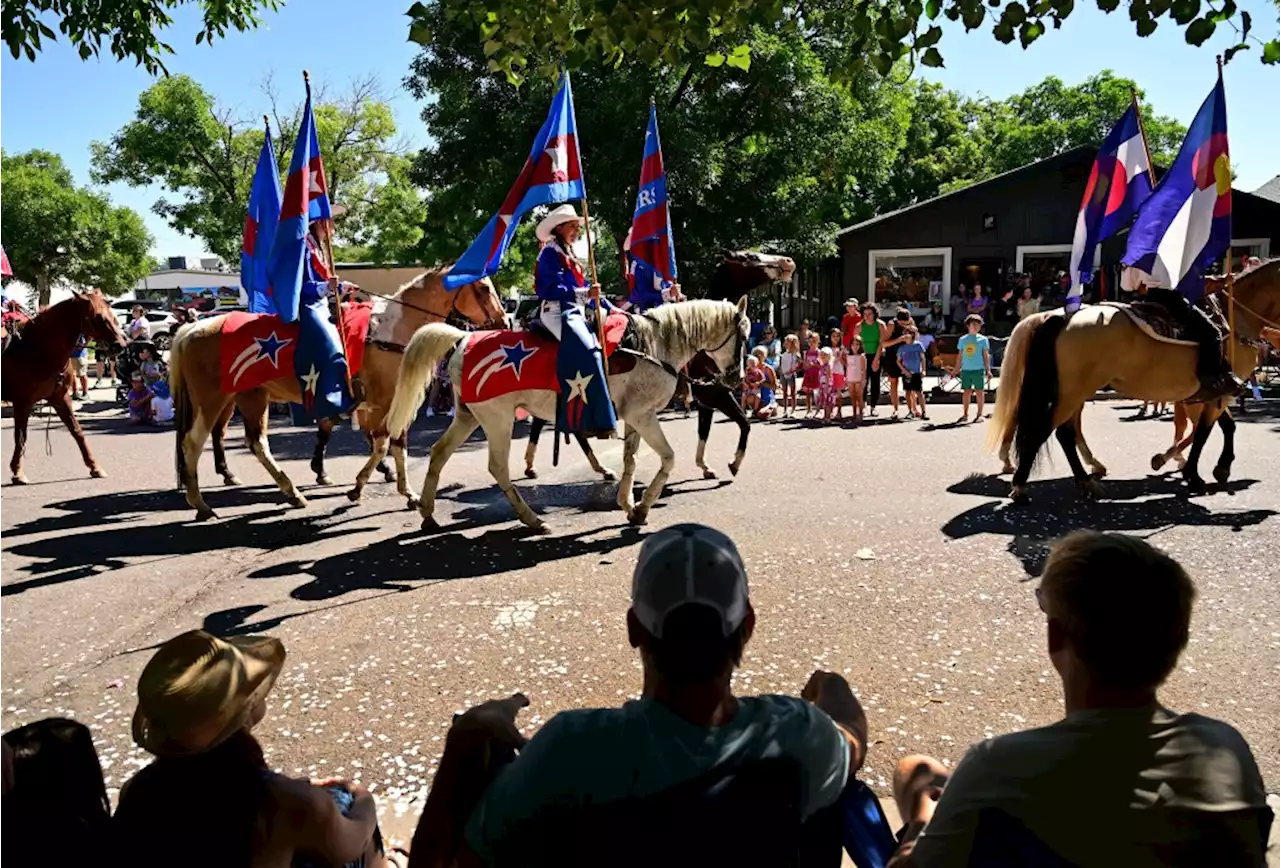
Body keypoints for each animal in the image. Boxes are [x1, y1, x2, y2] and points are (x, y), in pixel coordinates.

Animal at [0, 290, 128, 483]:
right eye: (97, 318)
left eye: (112, 315)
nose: (120, 345)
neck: (38, 349)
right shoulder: (23, 402)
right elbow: (20, 436)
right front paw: (18, 471)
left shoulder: (60, 397)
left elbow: (77, 430)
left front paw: (94, 466)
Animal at [168, 270, 504, 524]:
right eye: (483, 288)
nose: (503, 322)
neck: (389, 332)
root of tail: (193, 328)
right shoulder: (384, 403)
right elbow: (384, 445)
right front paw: (366, 488)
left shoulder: (384, 403)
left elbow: (391, 445)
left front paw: (399, 491)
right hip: (212, 399)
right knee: (194, 443)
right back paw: (202, 504)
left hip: (247, 398)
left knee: (253, 442)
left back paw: (288, 492)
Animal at [384, 295, 752, 535]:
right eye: (744, 335)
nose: (736, 378)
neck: (651, 346)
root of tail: (463, 338)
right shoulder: (643, 416)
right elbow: (668, 458)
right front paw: (644, 505)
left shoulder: (635, 417)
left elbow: (630, 461)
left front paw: (629, 505)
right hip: (497, 420)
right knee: (498, 468)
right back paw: (532, 519)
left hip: (467, 416)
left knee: (438, 453)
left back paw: (428, 513)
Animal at [519, 249, 788, 483]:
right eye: (750, 257)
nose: (787, 262)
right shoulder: (716, 395)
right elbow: (744, 423)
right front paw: (734, 464)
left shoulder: (707, 399)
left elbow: (705, 431)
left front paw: (705, 466)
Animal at [988, 259, 1280, 504]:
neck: (1234, 321)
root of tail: (1062, 317)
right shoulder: (1216, 393)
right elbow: (1205, 432)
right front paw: (1194, 472)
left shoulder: (1206, 395)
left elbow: (1222, 427)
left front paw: (1206, 467)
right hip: (1072, 391)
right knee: (1047, 430)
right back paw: (1022, 484)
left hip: (1073, 390)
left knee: (1063, 432)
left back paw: (1085, 479)